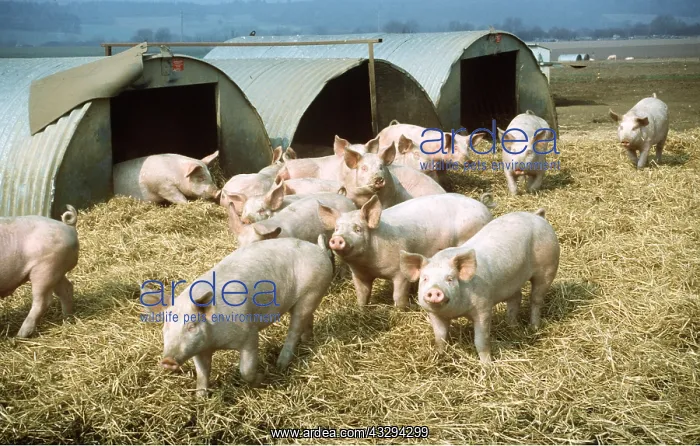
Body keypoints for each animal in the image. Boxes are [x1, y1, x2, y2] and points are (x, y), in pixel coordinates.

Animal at [0, 205, 79, 337]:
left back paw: (20, 335)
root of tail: (69, 227)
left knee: (43, 301)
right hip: (57, 270)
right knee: (67, 289)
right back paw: (67, 319)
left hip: (45, 270)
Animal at [150, 235, 334, 396]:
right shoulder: (200, 349)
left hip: (311, 292)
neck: (215, 342)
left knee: (294, 330)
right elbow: (202, 373)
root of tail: (319, 249)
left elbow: (245, 370)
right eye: (165, 328)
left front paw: (262, 378)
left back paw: (280, 365)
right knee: (307, 319)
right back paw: (307, 340)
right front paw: (200, 398)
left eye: (191, 326)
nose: (167, 361)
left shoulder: (249, 334)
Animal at [317, 192, 494, 309]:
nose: (337, 238)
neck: (370, 264)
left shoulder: (400, 272)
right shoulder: (359, 274)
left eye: (357, 229)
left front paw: (400, 310)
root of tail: (484, 208)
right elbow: (362, 294)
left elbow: (398, 295)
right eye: (337, 228)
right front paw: (361, 311)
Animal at [398, 208, 560, 363]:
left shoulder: (483, 307)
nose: (435, 290)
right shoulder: (434, 314)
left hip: (548, 267)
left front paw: (486, 365)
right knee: (516, 298)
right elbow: (440, 337)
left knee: (536, 299)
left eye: (450, 278)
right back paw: (512, 325)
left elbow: (481, 341)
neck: (455, 312)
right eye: (425, 279)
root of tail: (537, 216)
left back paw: (534, 327)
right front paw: (439, 356)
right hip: (513, 280)